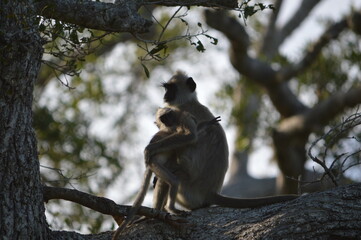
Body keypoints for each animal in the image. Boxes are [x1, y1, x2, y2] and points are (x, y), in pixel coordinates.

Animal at [112, 107, 219, 240]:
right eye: (163, 118)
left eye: (167, 116)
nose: (166, 121)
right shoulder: (182, 122)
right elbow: (189, 136)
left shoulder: (183, 120)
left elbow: (190, 135)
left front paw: (205, 125)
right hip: (155, 164)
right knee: (172, 180)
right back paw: (166, 209)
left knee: (168, 180)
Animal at [150, 71, 298, 212]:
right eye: (166, 88)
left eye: (172, 88)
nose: (166, 95)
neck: (189, 102)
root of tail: (210, 193)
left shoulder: (179, 113)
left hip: (186, 190)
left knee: (168, 177)